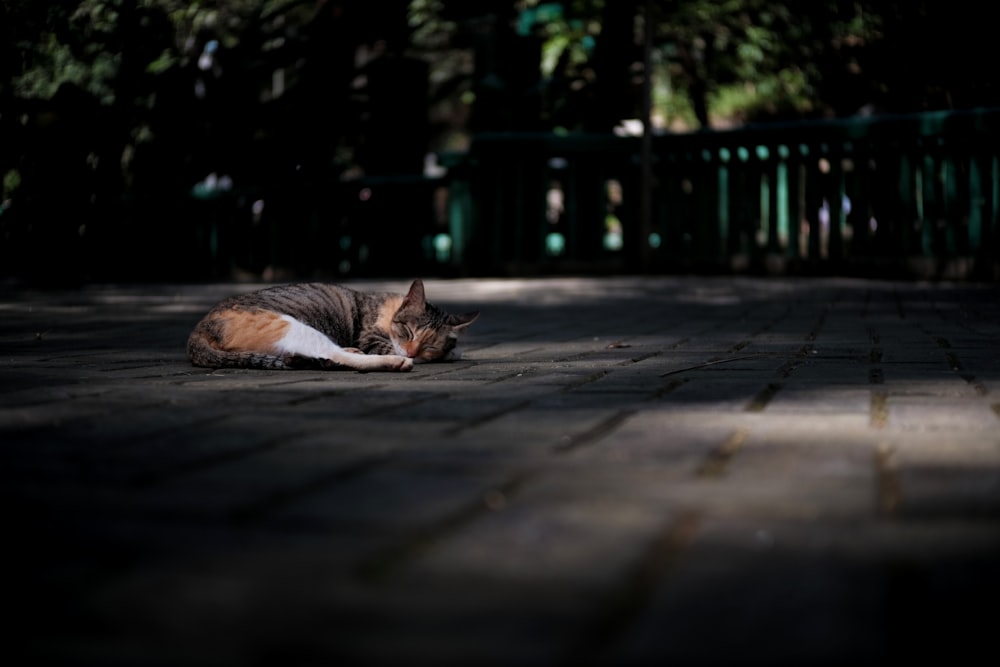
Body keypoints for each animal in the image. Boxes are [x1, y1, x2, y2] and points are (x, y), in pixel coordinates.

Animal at [191, 276, 480, 370]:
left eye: (430, 344)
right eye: (408, 331)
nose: (410, 351)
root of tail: (198, 330)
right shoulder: (370, 337)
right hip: (292, 325)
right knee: (332, 354)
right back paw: (393, 363)